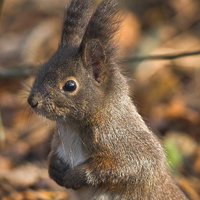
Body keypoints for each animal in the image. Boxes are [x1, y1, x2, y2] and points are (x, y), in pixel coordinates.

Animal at [27, 0, 189, 199]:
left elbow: (134, 166)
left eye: (70, 86)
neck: (71, 127)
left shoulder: (121, 138)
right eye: (41, 69)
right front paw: (54, 168)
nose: (32, 101)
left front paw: (77, 176)